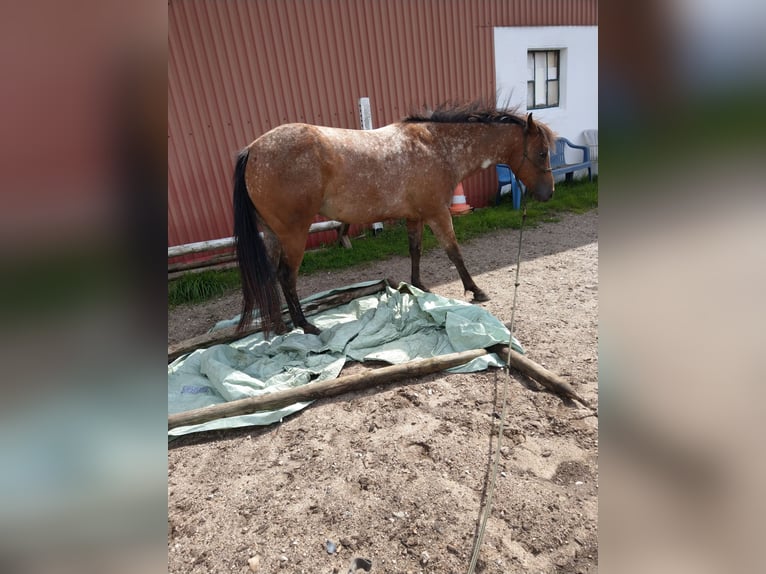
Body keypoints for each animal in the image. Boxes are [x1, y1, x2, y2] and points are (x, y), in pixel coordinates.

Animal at [231, 101, 556, 338]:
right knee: (286, 276)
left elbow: (416, 251)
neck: (436, 145)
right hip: (294, 235)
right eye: (542, 153)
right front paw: (475, 290)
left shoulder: (416, 217)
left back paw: (279, 326)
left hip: (272, 234)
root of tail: (253, 150)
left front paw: (418, 286)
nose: (549, 193)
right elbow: (455, 252)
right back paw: (305, 325)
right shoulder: (438, 213)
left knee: (270, 276)